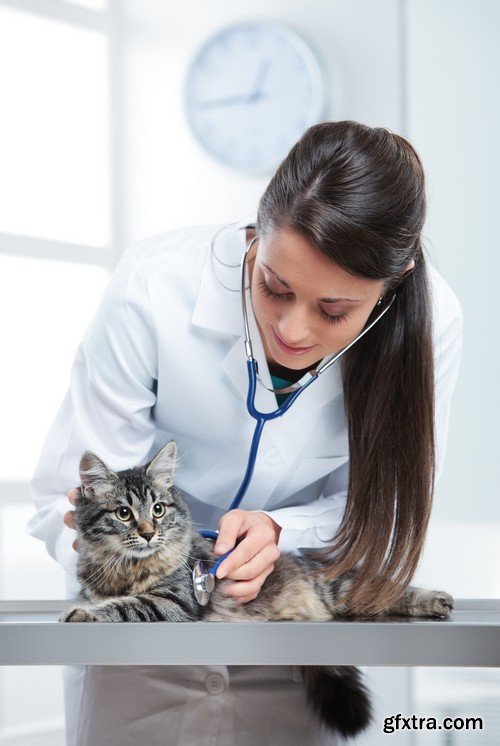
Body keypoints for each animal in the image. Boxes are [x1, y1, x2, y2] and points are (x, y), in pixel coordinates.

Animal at [60, 438, 456, 736]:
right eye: (124, 514)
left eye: (158, 510)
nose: (147, 533)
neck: (128, 567)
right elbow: (110, 599)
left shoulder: (174, 601)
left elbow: (125, 605)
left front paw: (81, 614)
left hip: (340, 588)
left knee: (384, 592)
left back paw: (437, 599)